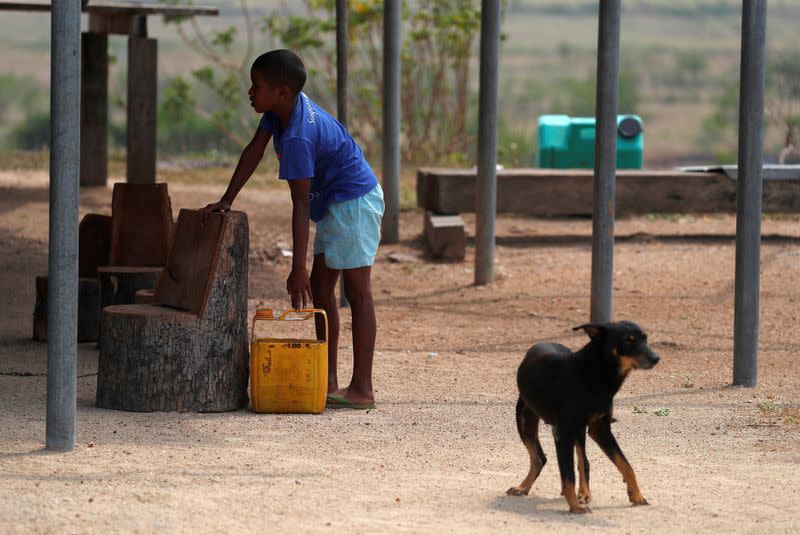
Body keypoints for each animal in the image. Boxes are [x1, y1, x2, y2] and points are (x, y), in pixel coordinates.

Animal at [510, 322, 660, 516]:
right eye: (628, 340)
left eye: (645, 338)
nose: (656, 358)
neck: (594, 374)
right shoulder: (563, 433)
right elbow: (568, 475)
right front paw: (575, 507)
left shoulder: (600, 430)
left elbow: (626, 465)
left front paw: (636, 495)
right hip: (524, 420)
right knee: (538, 459)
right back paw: (522, 488)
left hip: (577, 431)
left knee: (581, 462)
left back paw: (583, 492)